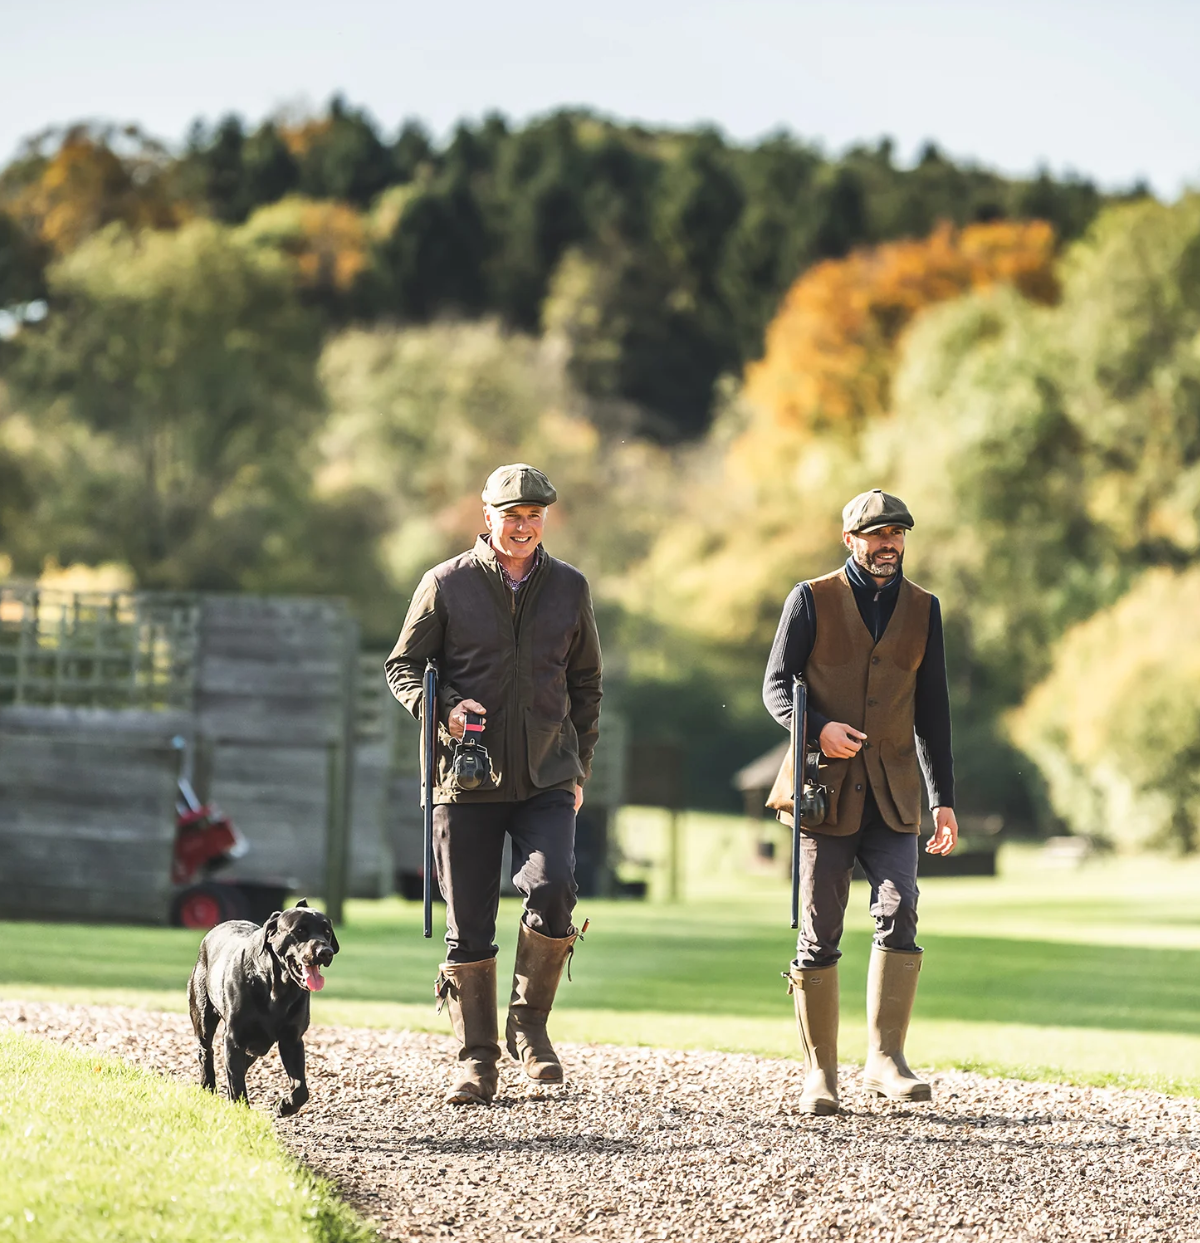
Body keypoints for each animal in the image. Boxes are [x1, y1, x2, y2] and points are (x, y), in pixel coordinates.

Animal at [187, 899, 340, 1113]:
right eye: (300, 930)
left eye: (327, 932)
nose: (325, 952)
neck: (277, 990)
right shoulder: (234, 1039)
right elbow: (237, 1082)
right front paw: (240, 1110)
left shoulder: (292, 1040)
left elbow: (301, 1090)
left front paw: (284, 1106)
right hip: (203, 1017)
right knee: (206, 1053)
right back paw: (207, 1087)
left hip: (256, 1047)